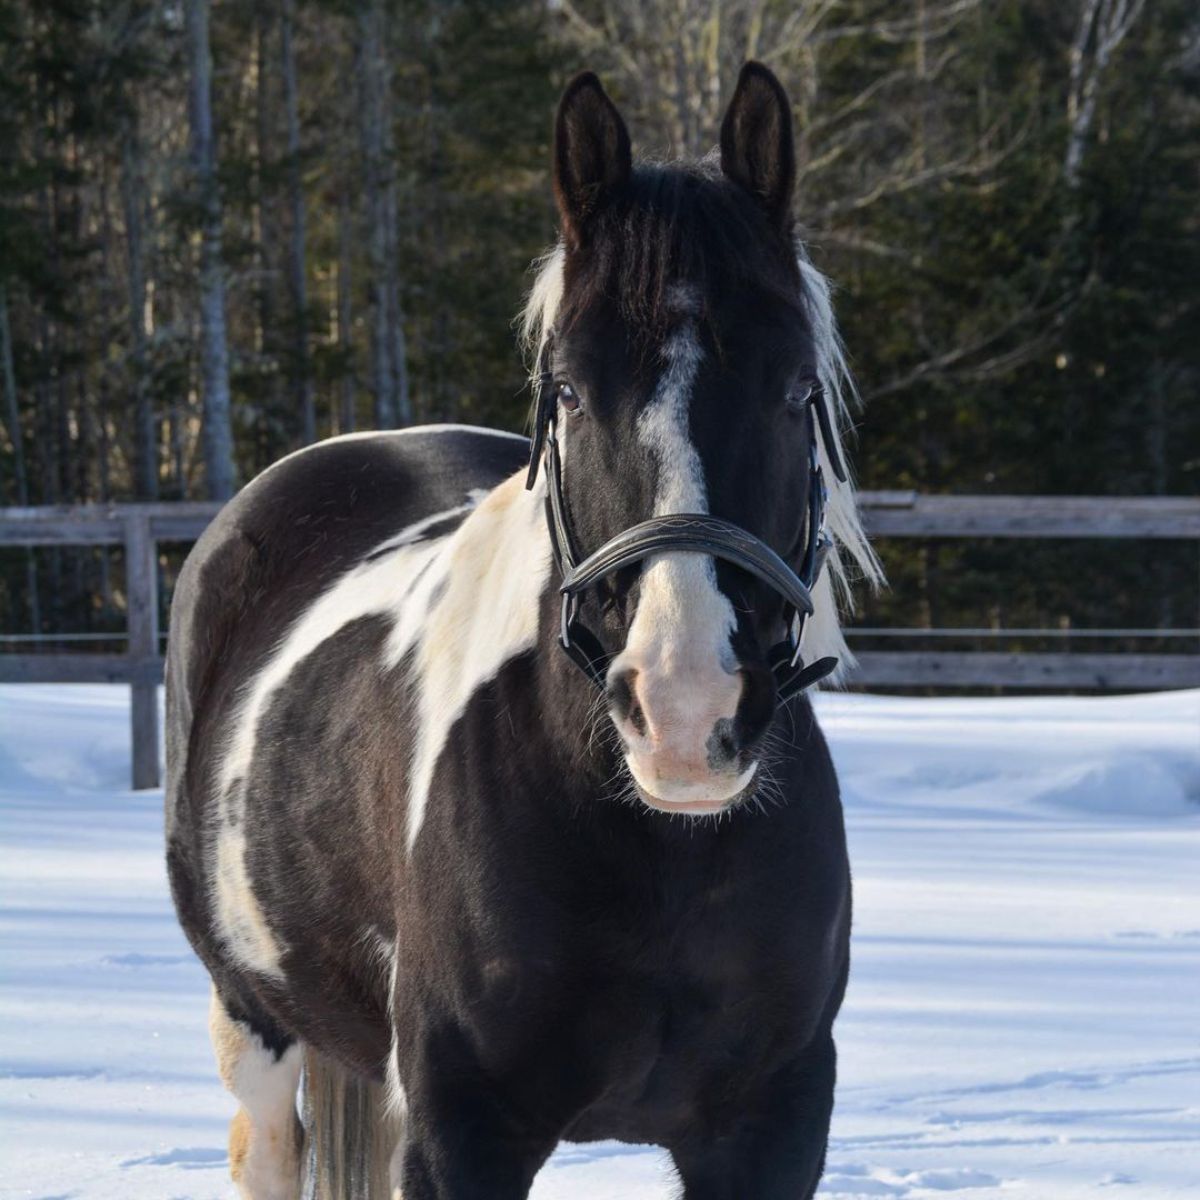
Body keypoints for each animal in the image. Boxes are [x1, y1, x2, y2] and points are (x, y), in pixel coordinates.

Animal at [164, 60, 883, 1195]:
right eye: (572, 390)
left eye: (795, 387)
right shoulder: (464, 1131)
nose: (685, 712)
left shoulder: (771, 1128)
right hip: (254, 1021)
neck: (655, 850)